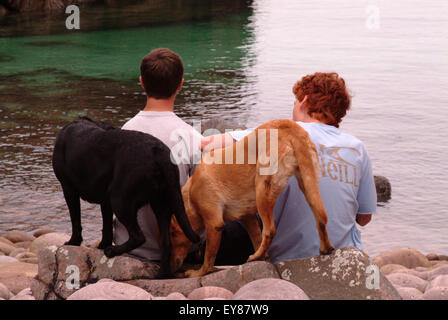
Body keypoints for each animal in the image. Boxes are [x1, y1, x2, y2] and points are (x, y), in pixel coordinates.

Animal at [51, 117, 199, 278]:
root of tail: (157, 152)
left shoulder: (68, 189)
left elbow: (76, 220)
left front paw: (73, 242)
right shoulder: (105, 201)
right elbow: (106, 226)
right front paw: (102, 245)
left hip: (120, 200)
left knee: (138, 236)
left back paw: (112, 251)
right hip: (161, 204)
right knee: (166, 243)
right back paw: (162, 275)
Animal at [170, 119, 334, 278]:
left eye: (172, 235)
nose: (170, 268)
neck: (190, 194)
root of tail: (288, 126)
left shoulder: (214, 224)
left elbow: (208, 259)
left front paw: (197, 273)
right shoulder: (247, 217)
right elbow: (256, 239)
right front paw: (264, 258)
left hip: (263, 190)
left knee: (270, 231)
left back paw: (254, 256)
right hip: (308, 183)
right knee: (322, 218)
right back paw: (325, 249)